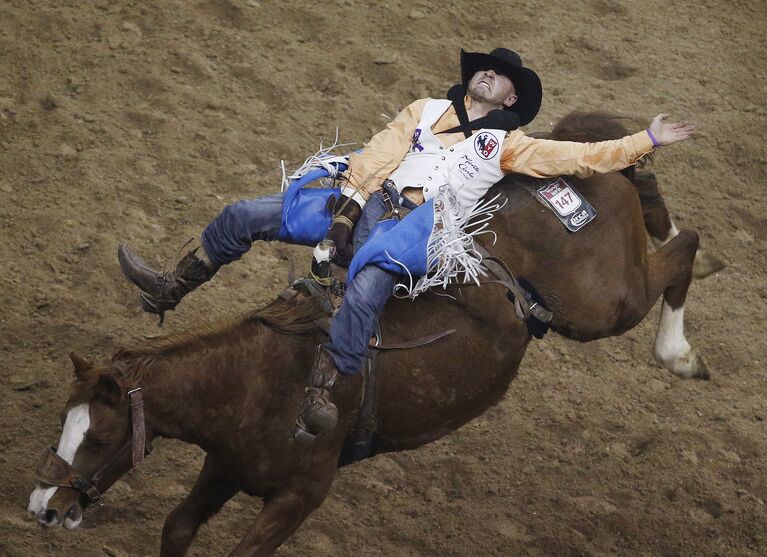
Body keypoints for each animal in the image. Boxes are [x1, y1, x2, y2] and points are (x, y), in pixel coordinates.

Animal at [28, 112, 708, 552]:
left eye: (98, 437)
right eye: (63, 421)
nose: (43, 508)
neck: (258, 380)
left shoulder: (301, 496)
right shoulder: (223, 465)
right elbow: (177, 528)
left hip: (605, 304)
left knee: (685, 249)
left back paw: (680, 353)